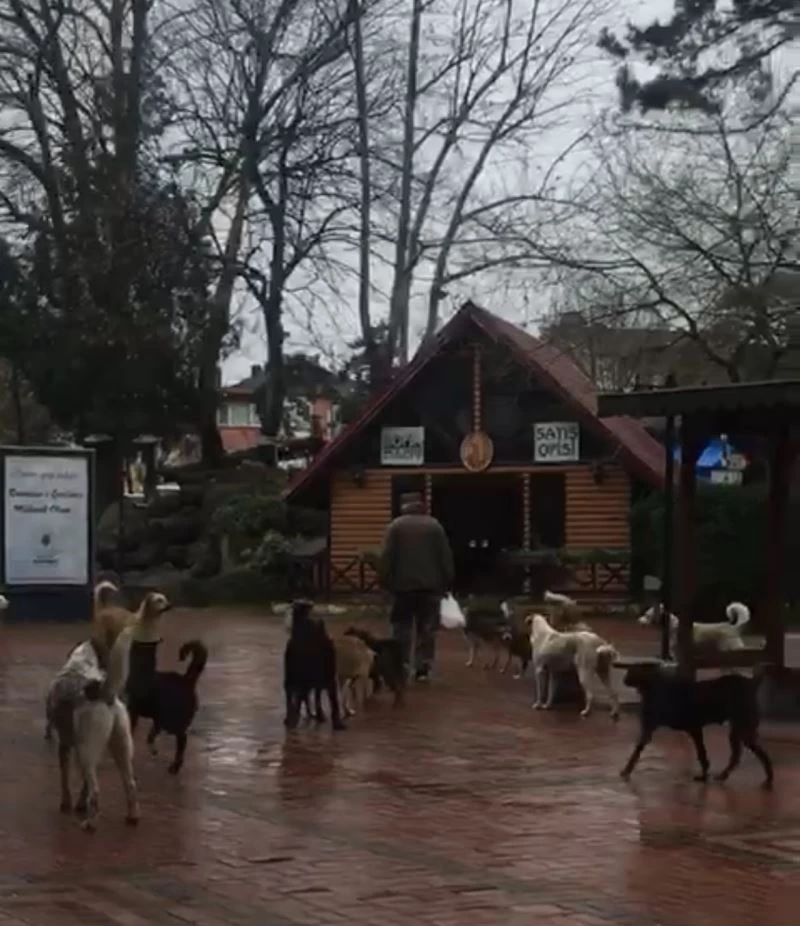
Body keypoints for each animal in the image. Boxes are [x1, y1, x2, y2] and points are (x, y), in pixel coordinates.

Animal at [126, 640, 206, 776]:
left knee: (182, 742)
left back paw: (175, 766)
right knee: (152, 736)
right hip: (160, 719)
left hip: (171, 721)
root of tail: (186, 680)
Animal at [282, 600, 344, 732]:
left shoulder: (329, 678)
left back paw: (315, 714)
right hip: (292, 678)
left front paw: (337, 722)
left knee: (311, 696)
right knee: (293, 696)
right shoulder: (301, 680)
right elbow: (297, 700)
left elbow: (334, 702)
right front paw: (293, 718)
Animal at [620, 668, 772, 792]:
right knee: (740, 755)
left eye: (632, 672)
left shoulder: (693, 729)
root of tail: (751, 683)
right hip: (739, 731)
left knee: (755, 755)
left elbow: (701, 753)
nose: (624, 679)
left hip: (743, 729)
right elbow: (702, 753)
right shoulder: (693, 730)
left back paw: (768, 779)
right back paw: (727, 775)